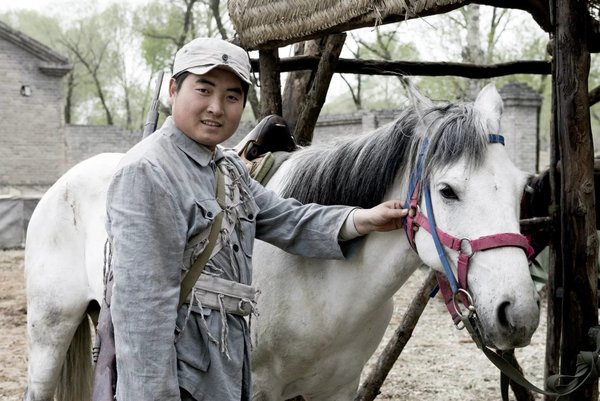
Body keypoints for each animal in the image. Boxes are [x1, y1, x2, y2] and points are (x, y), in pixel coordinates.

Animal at [23, 82, 540, 400]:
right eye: (448, 190)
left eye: (522, 189)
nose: (517, 314)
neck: (322, 289)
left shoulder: (336, 389)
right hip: (50, 330)